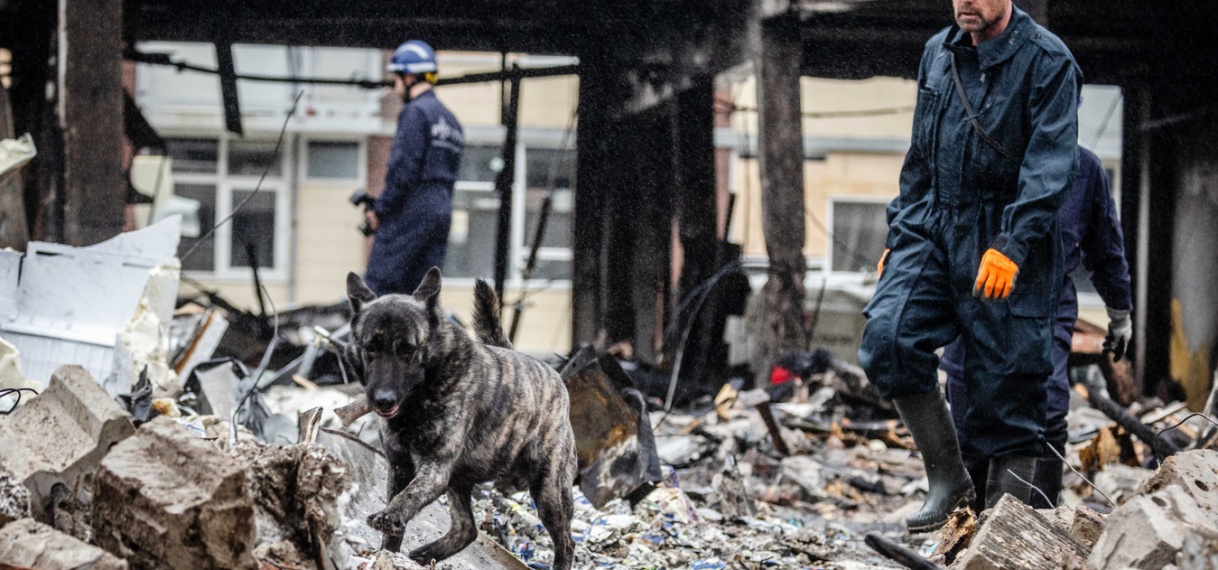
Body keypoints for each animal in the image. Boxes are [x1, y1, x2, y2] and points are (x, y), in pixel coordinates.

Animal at [341, 269, 572, 567]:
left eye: (408, 349)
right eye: (371, 348)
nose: (383, 399)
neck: (421, 394)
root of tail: (552, 374)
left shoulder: (436, 468)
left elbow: (408, 496)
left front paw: (389, 516)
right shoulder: (401, 467)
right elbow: (395, 529)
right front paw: (388, 555)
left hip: (548, 490)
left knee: (566, 542)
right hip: (459, 482)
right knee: (468, 528)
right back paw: (429, 553)